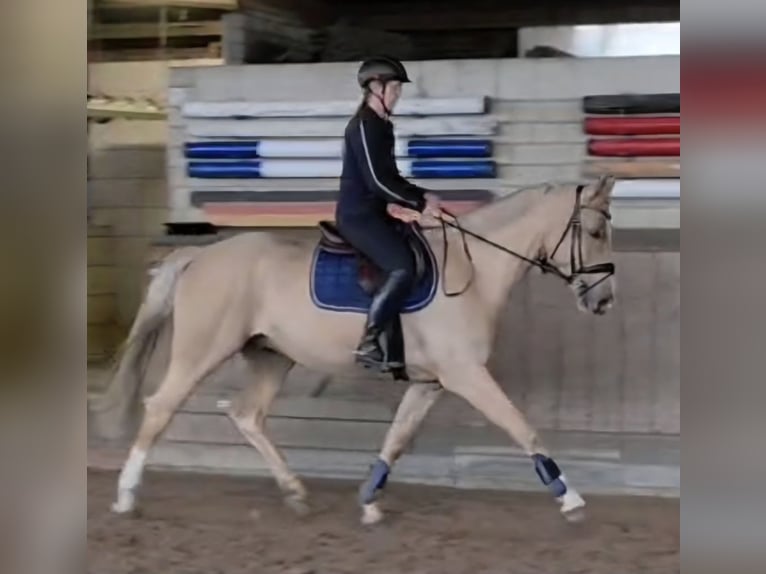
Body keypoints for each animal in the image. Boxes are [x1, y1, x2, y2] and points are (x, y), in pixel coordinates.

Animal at [91, 175, 617, 525]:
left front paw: (368, 499)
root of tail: (200, 255)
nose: (604, 301)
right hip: (202, 351)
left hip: (271, 356)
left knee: (247, 415)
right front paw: (570, 497)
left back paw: (295, 493)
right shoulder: (466, 375)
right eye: (594, 233)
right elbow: (520, 426)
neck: (474, 270)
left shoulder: (431, 383)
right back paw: (126, 495)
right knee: (161, 406)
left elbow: (397, 439)